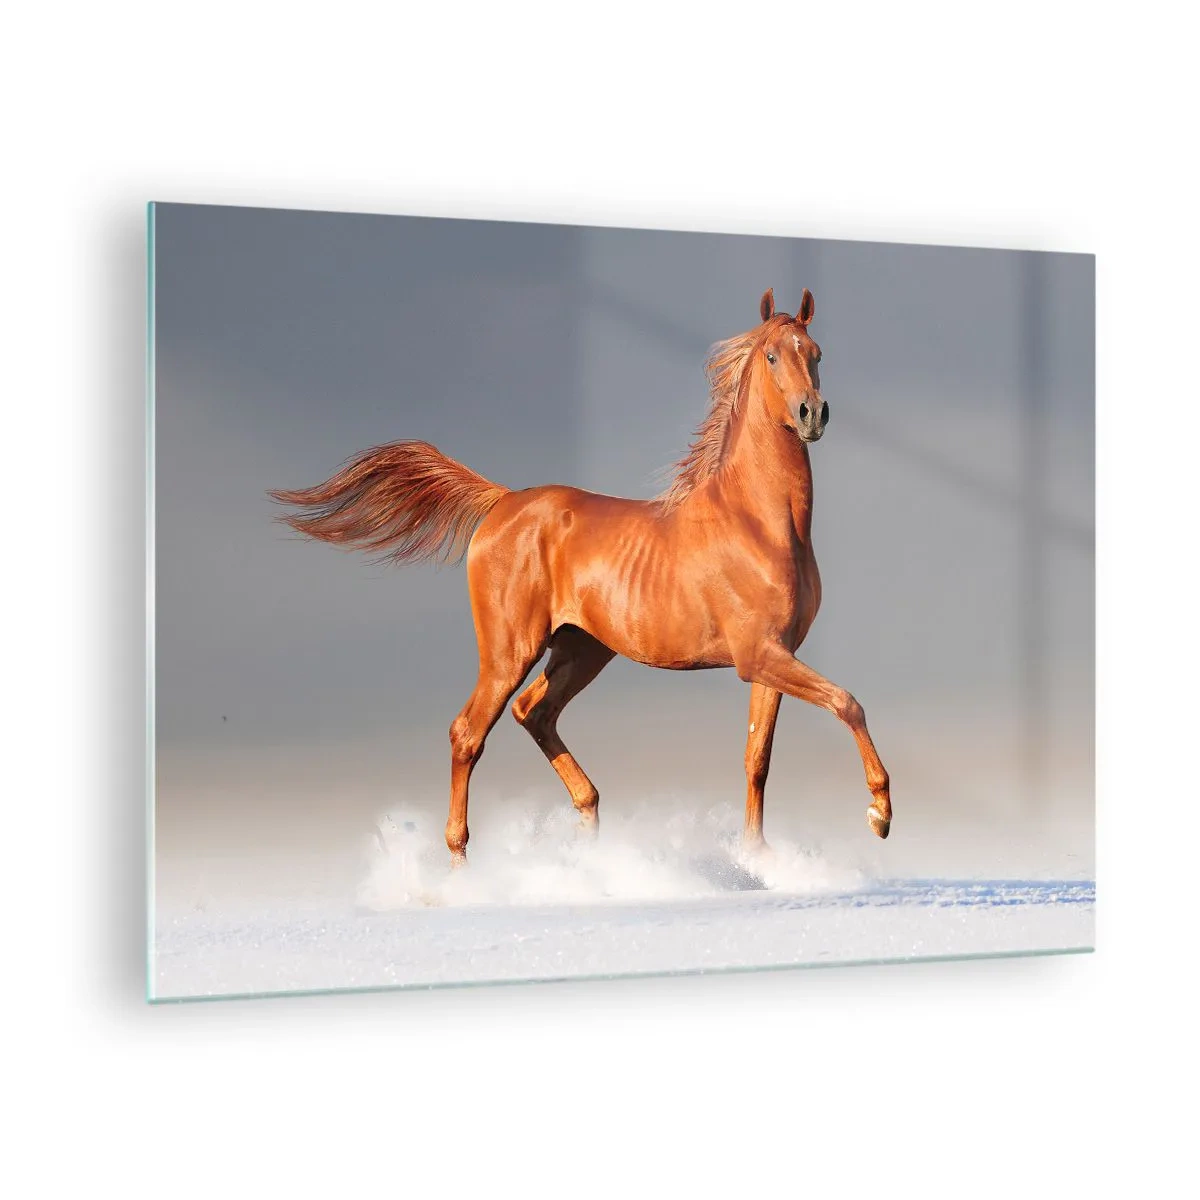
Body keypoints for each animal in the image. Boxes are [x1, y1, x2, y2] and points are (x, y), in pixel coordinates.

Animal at [269, 288, 892, 865]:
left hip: (581, 648)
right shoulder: (757, 655)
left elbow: (757, 758)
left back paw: (589, 829)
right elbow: (847, 702)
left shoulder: (774, 656)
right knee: (469, 732)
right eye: (771, 356)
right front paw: (879, 813)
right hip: (511, 651)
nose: (812, 413)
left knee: (533, 712)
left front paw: (757, 856)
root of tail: (502, 502)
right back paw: (462, 862)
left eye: (816, 352)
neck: (758, 522)